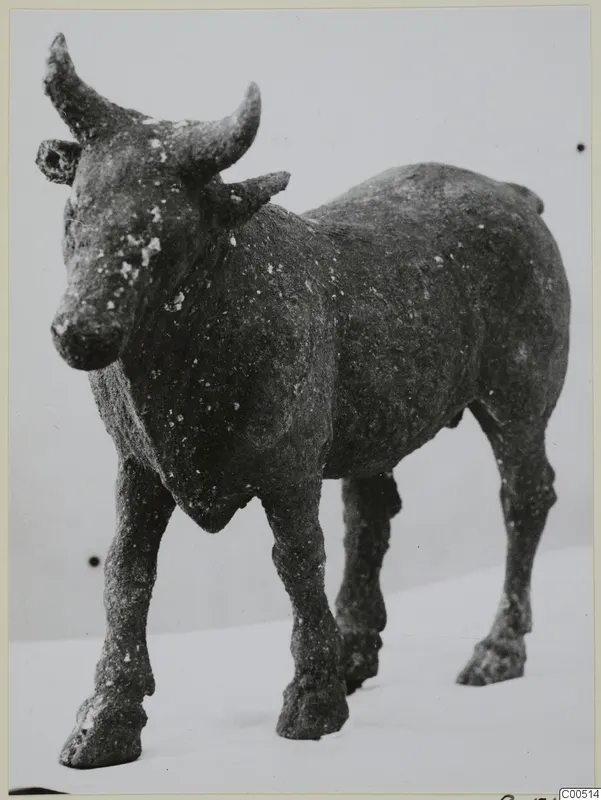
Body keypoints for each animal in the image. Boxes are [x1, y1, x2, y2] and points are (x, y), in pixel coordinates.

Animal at [35, 33, 570, 770]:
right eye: (75, 210)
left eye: (168, 231)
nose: (80, 332)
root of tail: (517, 197)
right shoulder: (138, 469)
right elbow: (126, 571)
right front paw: (107, 720)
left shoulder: (289, 473)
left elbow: (296, 561)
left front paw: (312, 702)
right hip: (374, 426)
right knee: (370, 514)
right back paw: (357, 651)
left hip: (518, 404)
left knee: (523, 499)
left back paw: (497, 649)